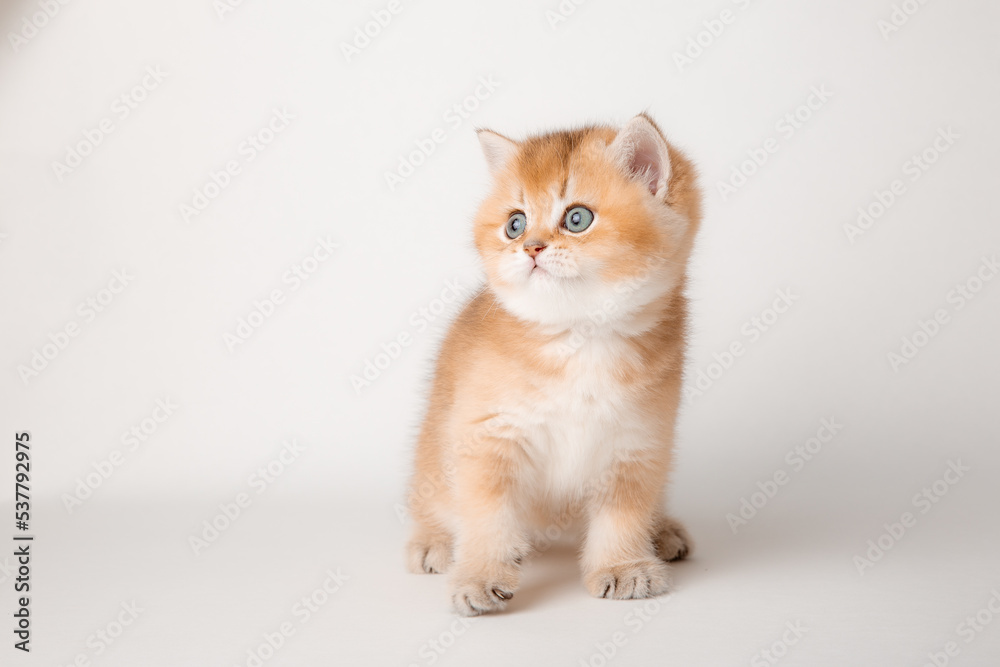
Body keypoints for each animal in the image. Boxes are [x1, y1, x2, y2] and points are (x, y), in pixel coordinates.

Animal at [406, 113, 704, 616]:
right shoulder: (488, 437)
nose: (531, 247)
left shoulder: (636, 442)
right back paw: (432, 542)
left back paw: (661, 531)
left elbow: (623, 514)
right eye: (515, 224)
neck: (579, 336)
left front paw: (623, 566)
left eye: (577, 218)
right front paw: (480, 576)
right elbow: (487, 516)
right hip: (434, 449)